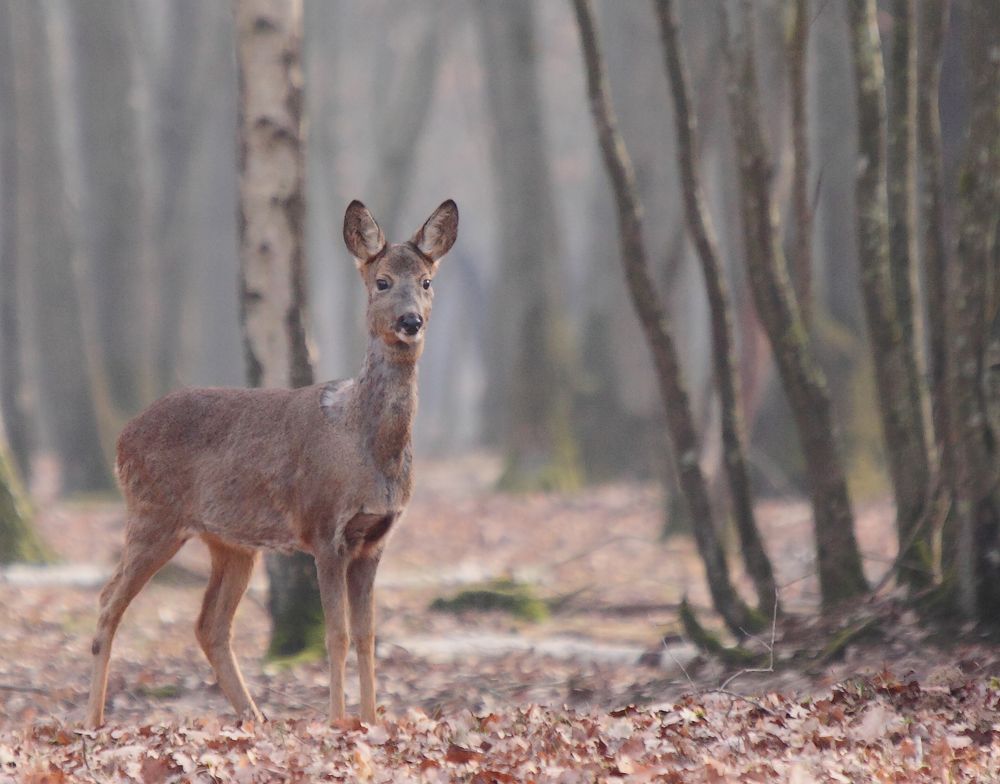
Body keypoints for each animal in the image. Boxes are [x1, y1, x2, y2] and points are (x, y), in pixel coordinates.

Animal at [86, 199, 460, 724]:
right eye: (382, 281)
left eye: (426, 281)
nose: (411, 321)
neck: (365, 449)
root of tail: (122, 437)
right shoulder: (325, 529)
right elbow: (337, 635)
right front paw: (337, 722)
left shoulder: (375, 539)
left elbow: (367, 636)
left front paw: (370, 720)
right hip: (151, 514)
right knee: (108, 602)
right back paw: (93, 723)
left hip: (229, 542)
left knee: (209, 623)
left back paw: (256, 719)